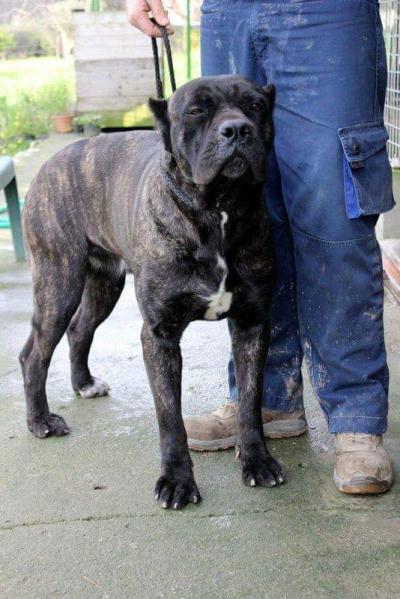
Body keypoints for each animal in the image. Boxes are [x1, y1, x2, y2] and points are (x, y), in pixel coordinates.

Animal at [20, 75, 284, 509]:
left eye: (256, 107)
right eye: (196, 111)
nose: (236, 129)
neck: (217, 210)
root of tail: (50, 163)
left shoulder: (252, 324)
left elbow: (250, 401)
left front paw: (257, 460)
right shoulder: (160, 336)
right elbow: (169, 417)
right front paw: (176, 481)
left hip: (104, 285)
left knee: (79, 330)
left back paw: (84, 383)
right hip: (59, 283)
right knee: (34, 355)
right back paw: (40, 421)